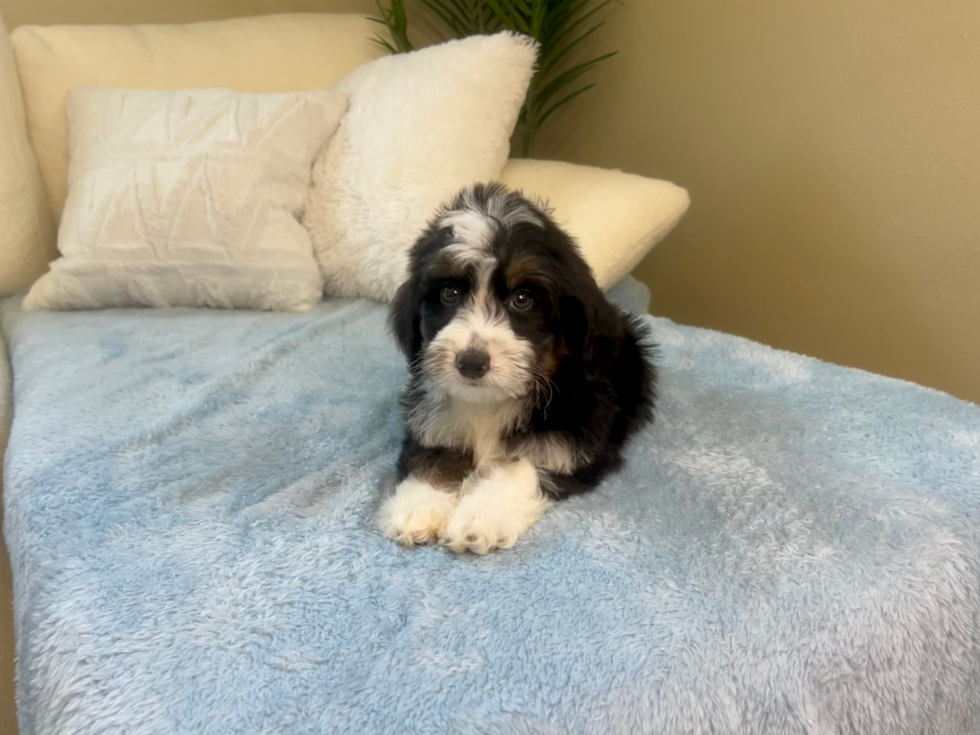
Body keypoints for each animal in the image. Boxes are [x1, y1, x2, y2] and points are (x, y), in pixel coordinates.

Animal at [378, 183, 656, 552]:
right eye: (449, 293)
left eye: (522, 299)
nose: (471, 362)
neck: (493, 401)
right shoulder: (431, 420)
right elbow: (435, 454)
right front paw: (420, 505)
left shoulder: (580, 436)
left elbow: (526, 465)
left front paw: (481, 515)